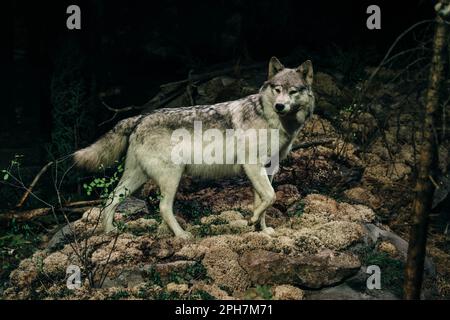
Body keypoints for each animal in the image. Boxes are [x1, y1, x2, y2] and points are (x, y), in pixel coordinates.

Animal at [74, 57, 314, 238]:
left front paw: (261, 230)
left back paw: (110, 232)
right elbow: (271, 197)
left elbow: (264, 201)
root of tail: (141, 117)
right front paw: (253, 220)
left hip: (136, 179)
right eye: (277, 89)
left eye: (293, 92)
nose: (280, 106)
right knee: (163, 208)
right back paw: (182, 236)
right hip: (172, 177)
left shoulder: (269, 169)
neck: (272, 121)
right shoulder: (252, 166)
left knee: (110, 201)